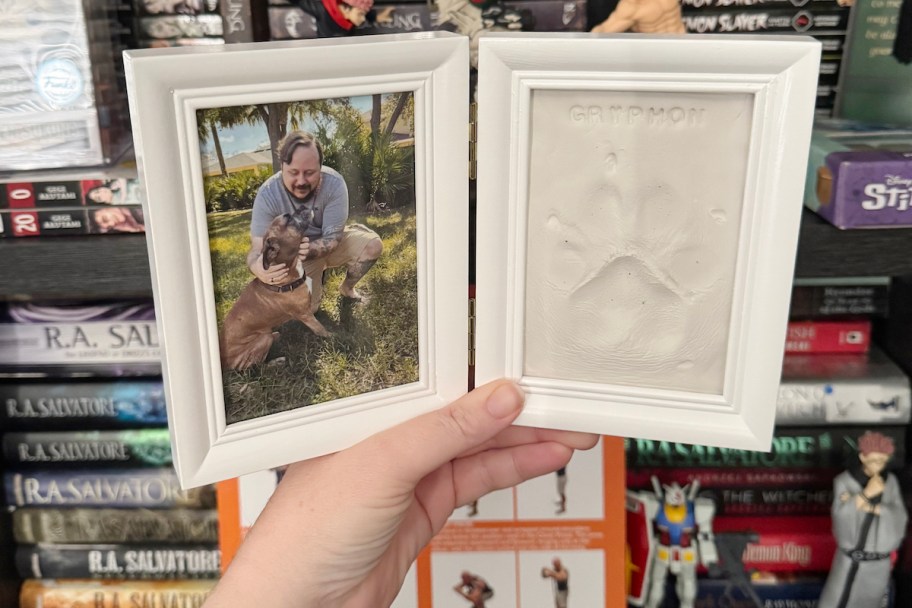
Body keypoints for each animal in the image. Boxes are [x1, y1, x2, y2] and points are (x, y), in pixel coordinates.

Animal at [218, 209, 330, 370]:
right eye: (288, 218)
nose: (302, 207)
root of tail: (223, 362)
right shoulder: (305, 314)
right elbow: (320, 329)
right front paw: (333, 337)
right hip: (262, 339)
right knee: (258, 366)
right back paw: (276, 361)